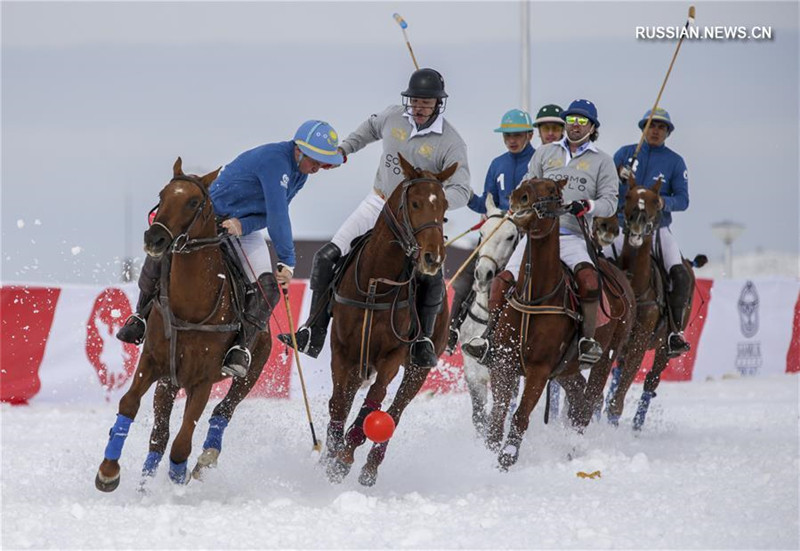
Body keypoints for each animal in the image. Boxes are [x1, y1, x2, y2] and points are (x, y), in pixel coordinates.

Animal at [94, 158, 268, 492]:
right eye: (162, 194)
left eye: (193, 202)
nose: (154, 239)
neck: (191, 305)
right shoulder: (153, 362)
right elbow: (128, 404)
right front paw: (108, 470)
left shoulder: (203, 380)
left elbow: (183, 441)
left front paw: (177, 477)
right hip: (170, 382)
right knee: (159, 436)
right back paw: (145, 484)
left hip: (249, 372)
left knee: (222, 411)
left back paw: (202, 462)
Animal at [322, 153, 454, 486]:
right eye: (415, 203)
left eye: (445, 207)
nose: (433, 258)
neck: (375, 283)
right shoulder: (342, 352)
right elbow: (338, 404)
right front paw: (329, 455)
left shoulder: (391, 356)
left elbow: (375, 403)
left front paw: (345, 455)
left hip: (418, 368)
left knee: (395, 411)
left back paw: (369, 467)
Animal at [484, 178, 636, 470]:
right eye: (527, 180)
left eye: (553, 191)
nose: (519, 197)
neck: (534, 296)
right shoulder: (503, 363)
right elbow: (497, 414)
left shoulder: (540, 369)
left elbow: (520, 415)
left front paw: (507, 458)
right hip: (566, 367)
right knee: (578, 398)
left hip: (606, 355)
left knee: (588, 403)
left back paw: (573, 450)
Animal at [604, 182, 696, 432]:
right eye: (627, 196)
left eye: (656, 201)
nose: (637, 226)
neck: (636, 286)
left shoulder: (640, 341)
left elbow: (620, 397)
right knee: (619, 373)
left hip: (665, 347)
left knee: (651, 381)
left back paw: (637, 425)